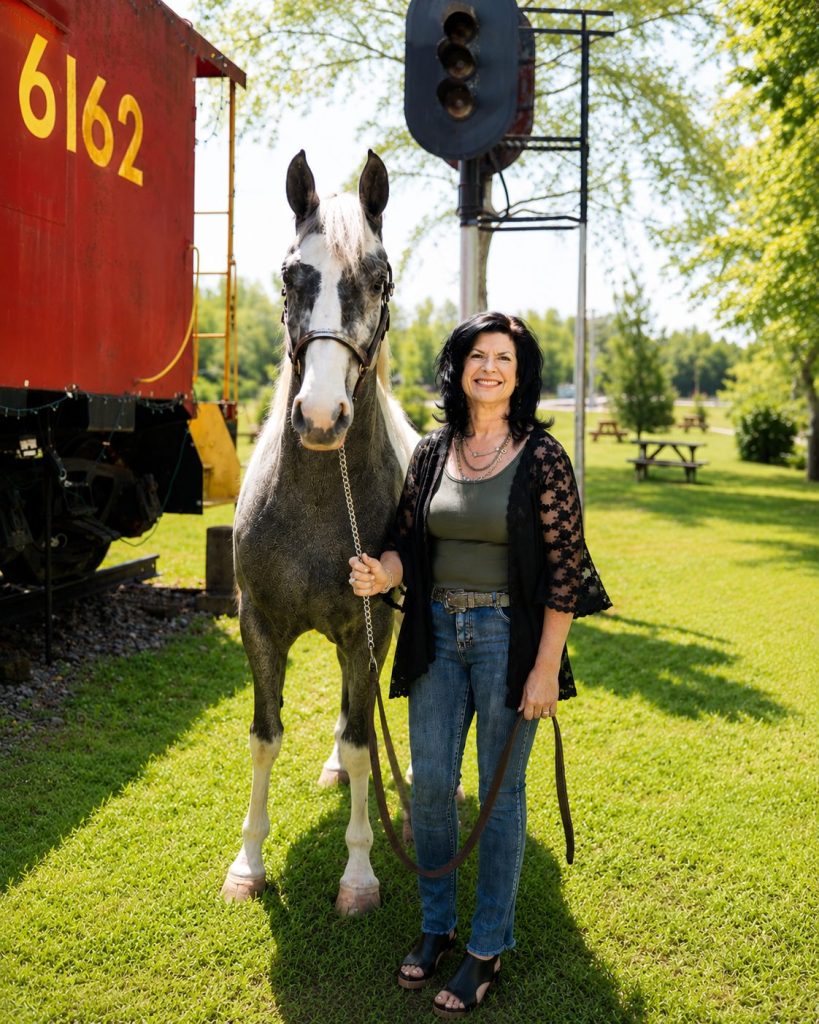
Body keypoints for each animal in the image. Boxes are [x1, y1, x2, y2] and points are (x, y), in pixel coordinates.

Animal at [221, 150, 418, 914]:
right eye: (288, 275)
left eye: (380, 277)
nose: (322, 417)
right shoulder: (259, 626)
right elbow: (264, 737)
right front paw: (247, 863)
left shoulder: (369, 628)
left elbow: (365, 741)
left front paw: (359, 875)